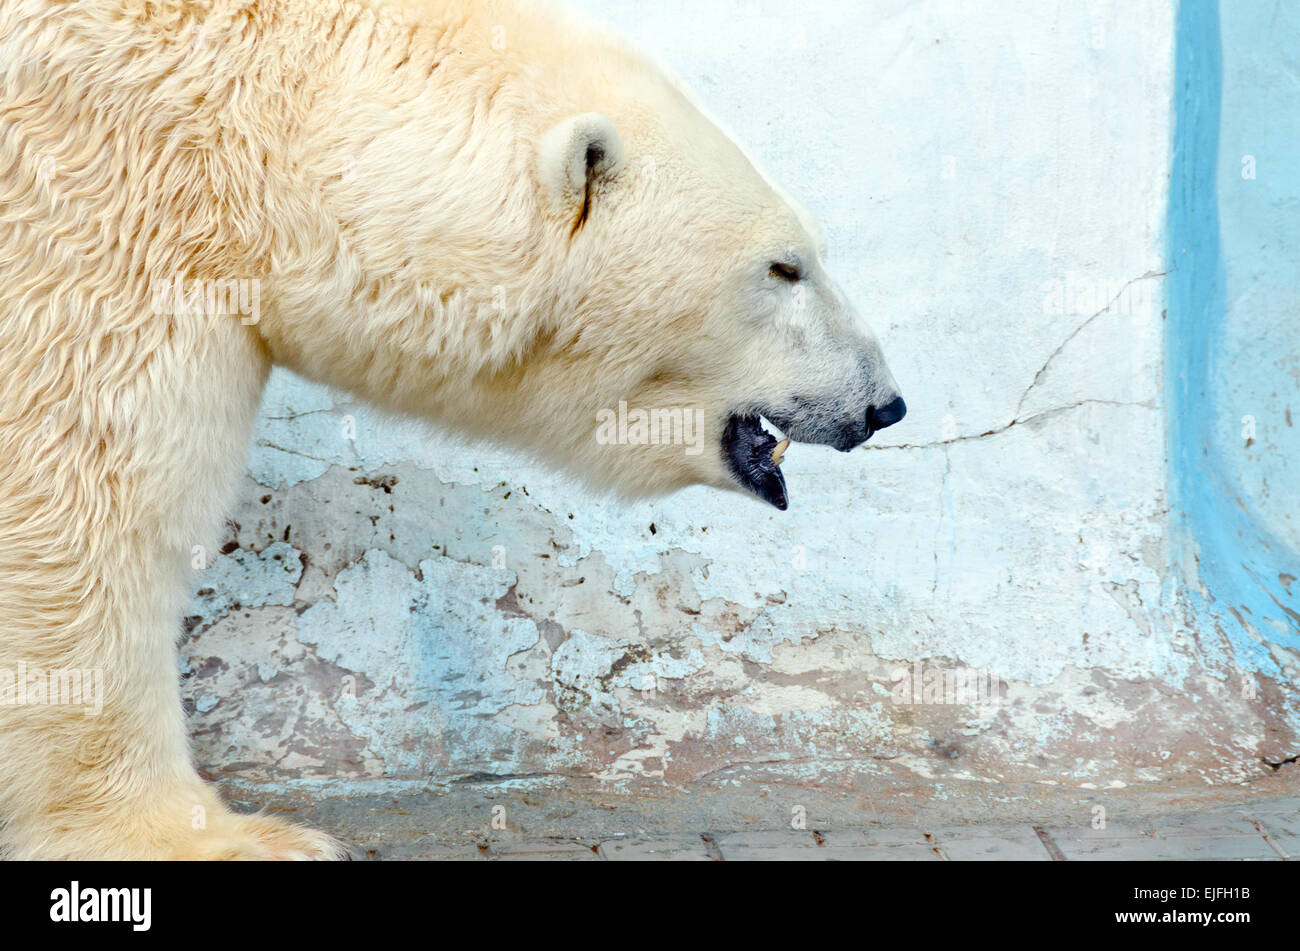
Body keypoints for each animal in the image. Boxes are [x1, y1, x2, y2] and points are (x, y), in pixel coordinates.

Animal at [0, 0, 904, 862]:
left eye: (811, 253)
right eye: (783, 267)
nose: (884, 403)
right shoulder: (103, 205)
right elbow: (82, 503)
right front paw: (224, 835)